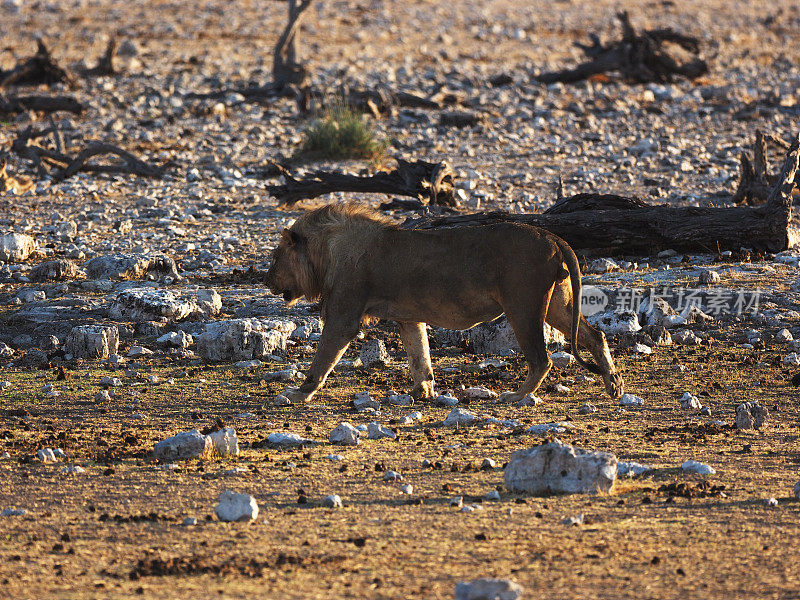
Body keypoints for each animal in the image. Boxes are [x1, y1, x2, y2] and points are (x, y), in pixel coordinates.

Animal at [266, 205, 620, 404]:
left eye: (275, 258)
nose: (266, 281)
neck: (327, 252)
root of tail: (553, 237)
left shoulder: (343, 316)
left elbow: (321, 361)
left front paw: (298, 394)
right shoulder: (409, 317)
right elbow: (419, 354)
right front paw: (422, 392)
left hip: (523, 306)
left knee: (541, 359)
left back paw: (517, 396)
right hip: (557, 304)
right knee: (595, 336)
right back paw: (614, 384)